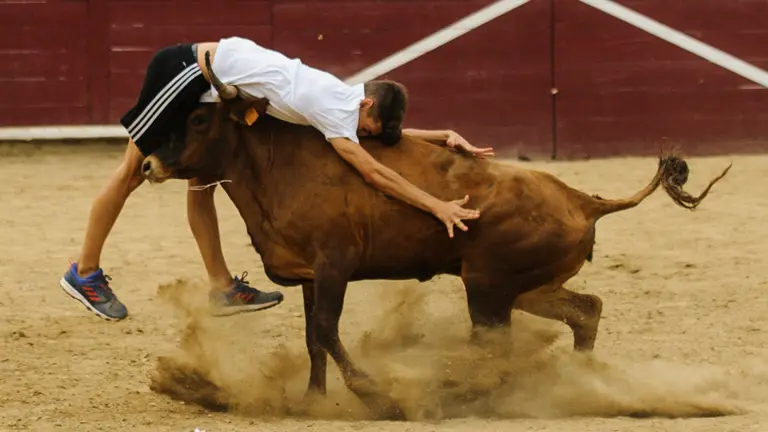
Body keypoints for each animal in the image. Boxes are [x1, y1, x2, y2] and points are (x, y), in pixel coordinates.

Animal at [141, 52, 731, 419]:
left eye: (198, 120)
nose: (147, 163)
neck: (273, 163)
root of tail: (584, 200)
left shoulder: (336, 265)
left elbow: (328, 332)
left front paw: (377, 400)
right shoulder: (309, 274)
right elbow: (312, 340)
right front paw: (311, 402)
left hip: (489, 287)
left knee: (497, 347)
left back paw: (470, 394)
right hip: (527, 288)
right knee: (586, 310)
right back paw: (581, 383)